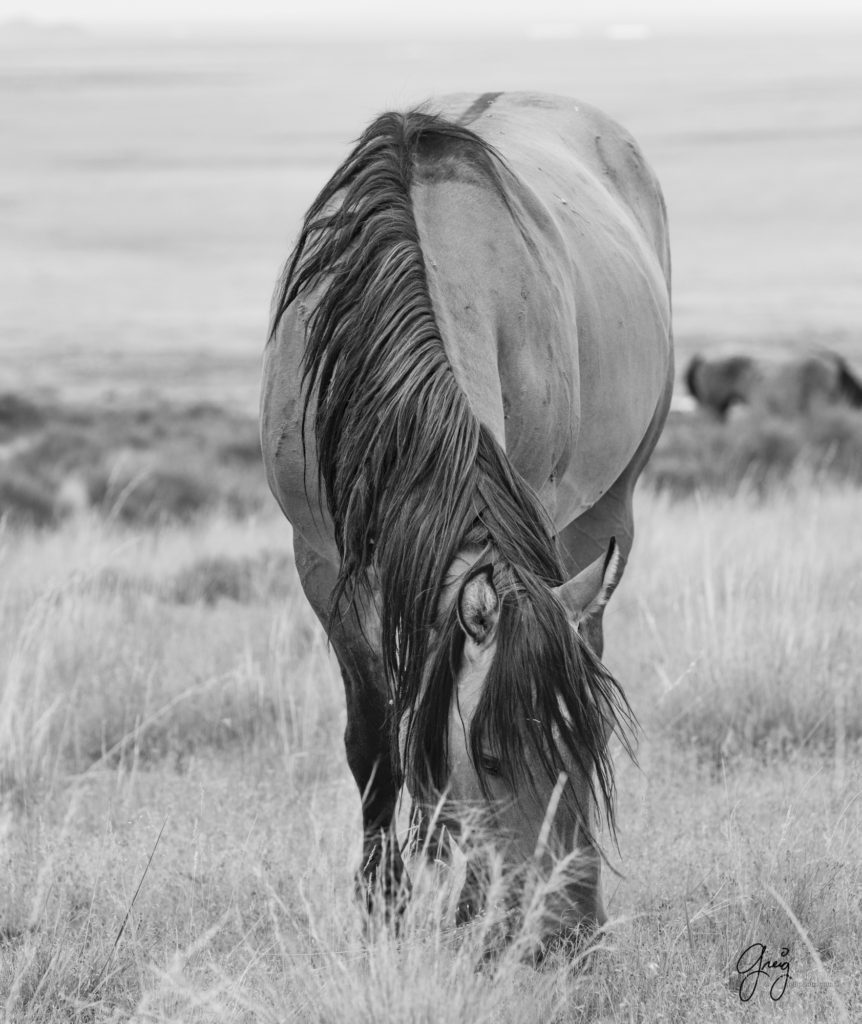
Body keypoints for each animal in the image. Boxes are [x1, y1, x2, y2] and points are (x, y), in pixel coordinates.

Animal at [259, 92, 675, 946]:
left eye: (588, 742)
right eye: (487, 757)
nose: (568, 932)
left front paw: (459, 903)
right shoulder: (322, 564)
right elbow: (376, 741)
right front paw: (384, 909)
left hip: (606, 509)